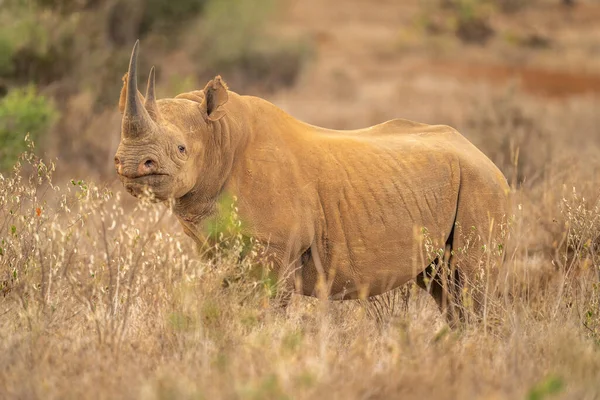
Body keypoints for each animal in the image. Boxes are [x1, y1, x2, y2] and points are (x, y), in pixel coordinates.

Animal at [115, 41, 508, 324]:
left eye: (181, 149)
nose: (131, 164)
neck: (219, 138)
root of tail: (487, 159)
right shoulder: (217, 250)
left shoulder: (274, 249)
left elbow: (263, 312)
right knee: (444, 288)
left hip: (481, 185)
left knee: (471, 282)